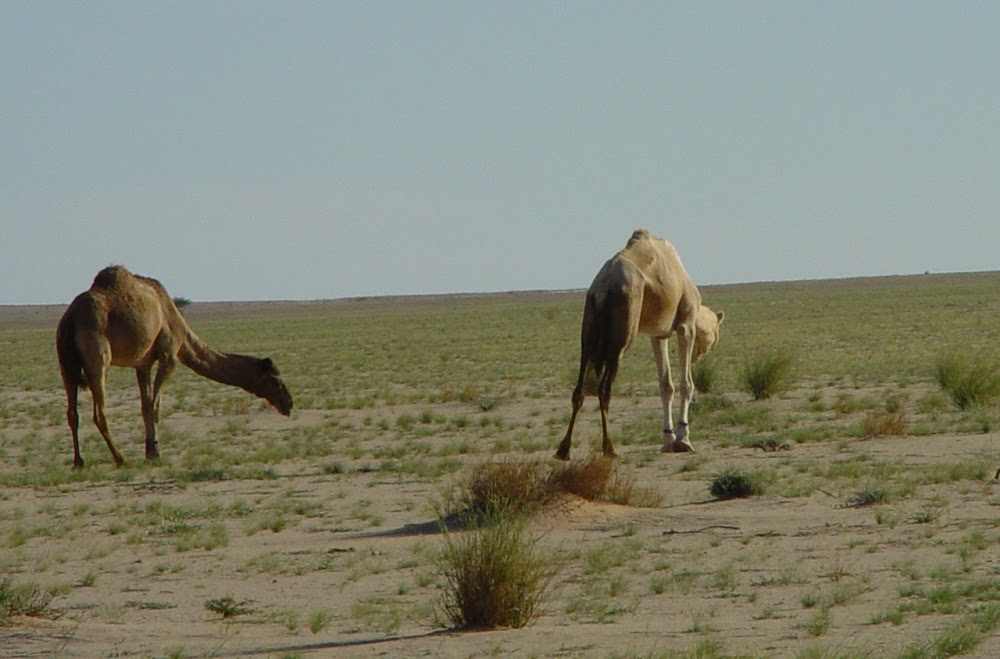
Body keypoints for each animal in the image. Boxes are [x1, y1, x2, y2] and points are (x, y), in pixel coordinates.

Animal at [56, 266, 292, 466]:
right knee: (99, 412)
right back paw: (121, 459)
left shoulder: (142, 364)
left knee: (72, 412)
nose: (289, 404)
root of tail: (70, 318)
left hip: (65, 362)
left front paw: (149, 450)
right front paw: (155, 453)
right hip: (98, 354)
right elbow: (155, 406)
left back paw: (79, 462)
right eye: (276, 380)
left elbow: (145, 405)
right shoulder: (168, 355)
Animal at [556, 229, 728, 462]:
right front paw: (683, 440)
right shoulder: (685, 325)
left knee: (580, 389)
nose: (704, 351)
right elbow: (686, 384)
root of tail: (603, 286)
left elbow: (666, 385)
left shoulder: (658, 334)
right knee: (603, 389)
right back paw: (609, 448)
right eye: (713, 335)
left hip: (589, 330)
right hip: (623, 331)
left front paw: (668, 440)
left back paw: (563, 450)